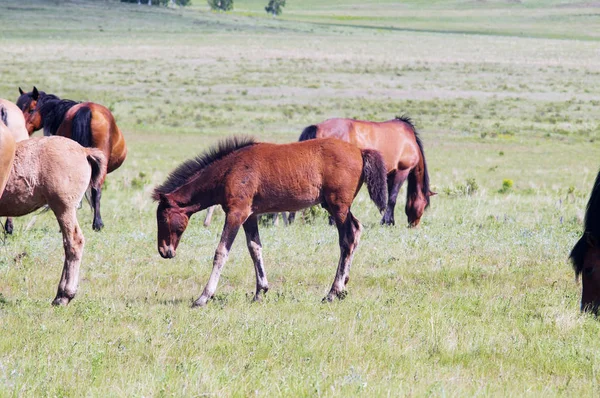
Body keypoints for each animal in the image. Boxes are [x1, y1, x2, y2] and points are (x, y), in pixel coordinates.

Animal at [152, 135, 386, 306]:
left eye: (162, 218)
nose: (164, 251)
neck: (229, 170)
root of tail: (360, 151)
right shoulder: (250, 215)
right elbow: (255, 248)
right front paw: (260, 291)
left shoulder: (236, 213)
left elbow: (221, 252)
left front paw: (203, 297)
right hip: (332, 205)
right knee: (356, 231)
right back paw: (343, 286)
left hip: (338, 207)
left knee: (348, 238)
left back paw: (333, 292)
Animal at [292, 115, 434, 227]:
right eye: (424, 204)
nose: (414, 225)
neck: (409, 140)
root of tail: (318, 127)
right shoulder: (401, 171)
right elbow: (392, 198)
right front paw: (388, 222)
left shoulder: (389, 174)